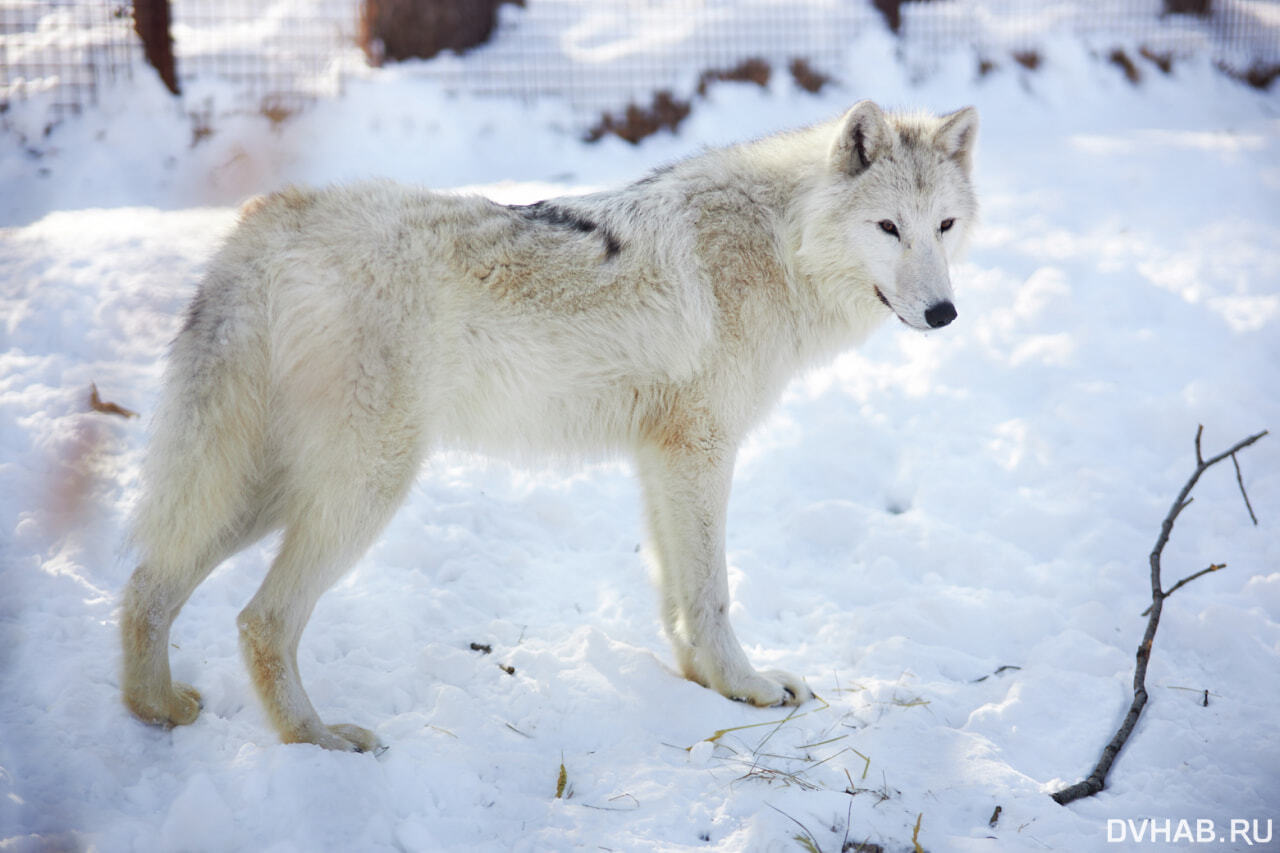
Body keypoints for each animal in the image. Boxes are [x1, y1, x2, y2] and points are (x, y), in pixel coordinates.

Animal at [122, 101, 977, 753]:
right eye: (888, 227)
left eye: (943, 225)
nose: (944, 313)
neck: (776, 243)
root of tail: (267, 221)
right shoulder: (701, 450)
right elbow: (713, 591)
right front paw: (747, 686)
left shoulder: (661, 457)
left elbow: (676, 593)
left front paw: (701, 681)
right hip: (363, 486)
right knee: (259, 620)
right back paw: (320, 740)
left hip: (266, 486)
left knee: (146, 582)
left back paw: (155, 708)